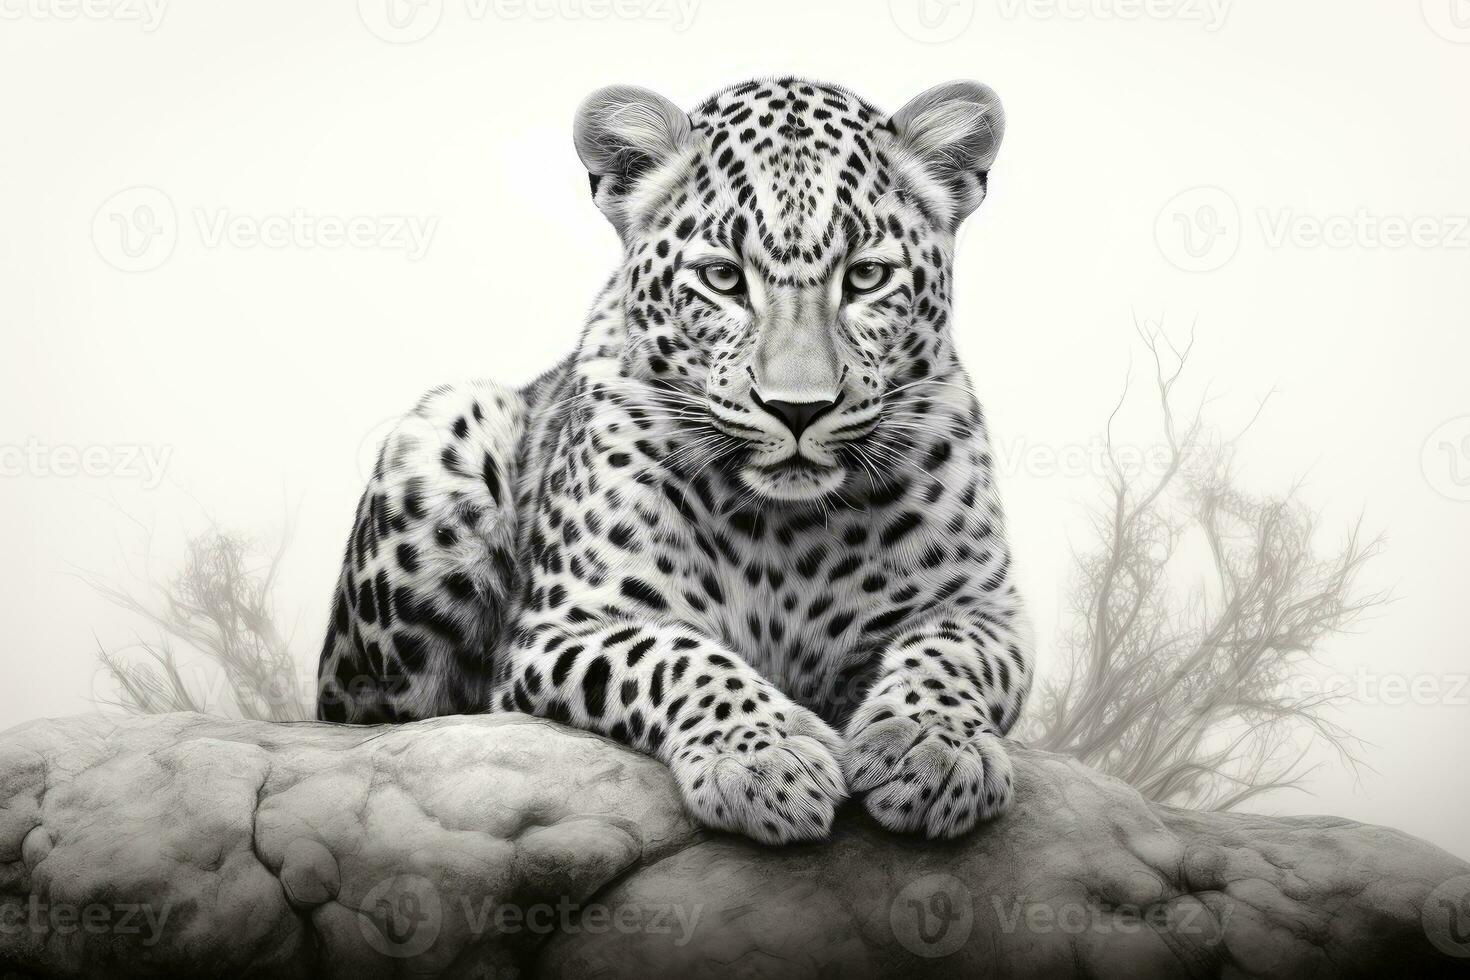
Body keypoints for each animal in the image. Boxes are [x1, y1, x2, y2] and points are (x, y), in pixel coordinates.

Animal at [316, 76, 1034, 846]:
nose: (799, 408)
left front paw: (931, 750)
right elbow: (671, 657)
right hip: (446, 426)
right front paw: (768, 759)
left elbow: (949, 654)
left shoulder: (988, 608)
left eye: (867, 277)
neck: (790, 529)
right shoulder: (562, 628)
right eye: (723, 278)